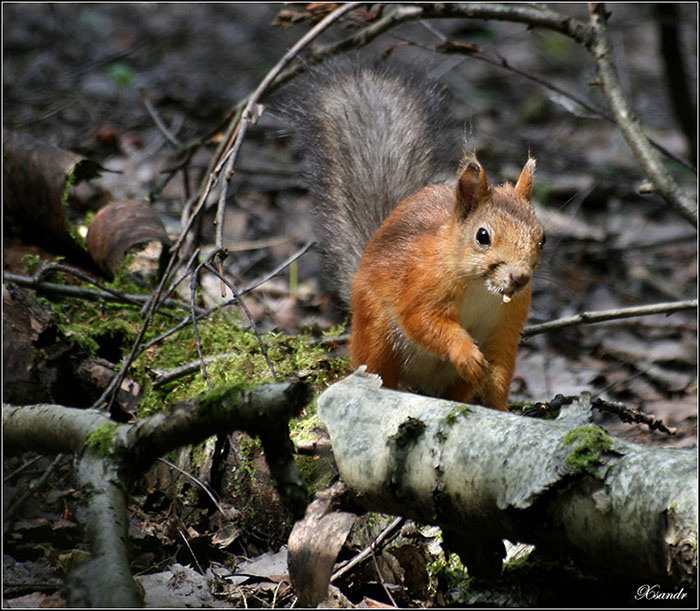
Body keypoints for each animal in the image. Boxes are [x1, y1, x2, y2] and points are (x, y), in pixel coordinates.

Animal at [282, 58, 545, 411]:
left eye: (542, 238)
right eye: (483, 236)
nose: (520, 278)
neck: (481, 288)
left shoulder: (507, 324)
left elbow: (500, 370)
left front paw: (501, 409)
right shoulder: (419, 284)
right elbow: (423, 321)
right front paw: (465, 353)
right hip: (377, 334)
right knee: (379, 367)